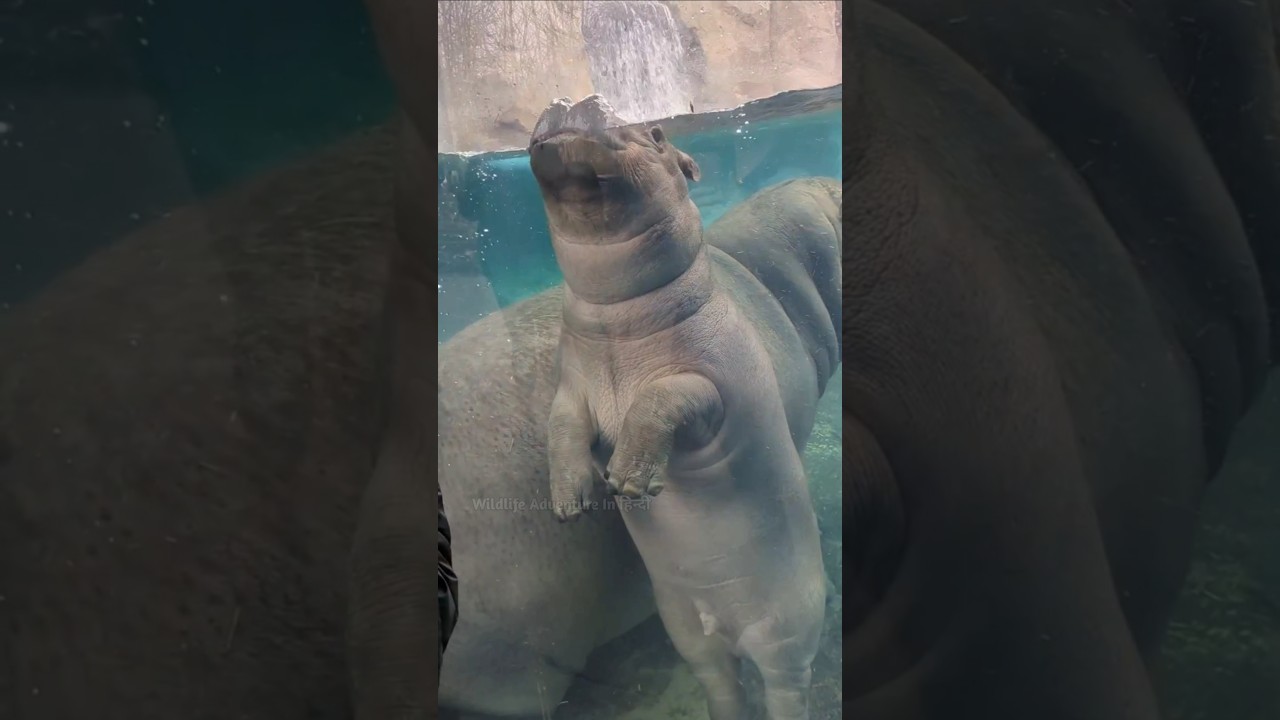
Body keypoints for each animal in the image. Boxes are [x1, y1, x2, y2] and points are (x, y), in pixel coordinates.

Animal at [525, 95, 840, 720]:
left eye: (657, 133)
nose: (575, 98)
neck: (614, 315)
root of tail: (730, 627)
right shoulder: (571, 386)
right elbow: (560, 428)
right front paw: (571, 502)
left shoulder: (713, 385)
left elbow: (661, 398)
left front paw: (627, 478)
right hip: (690, 636)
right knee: (723, 683)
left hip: (789, 632)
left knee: (786, 684)